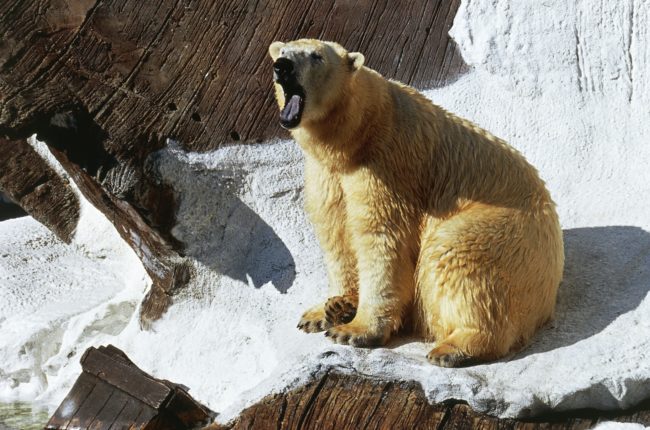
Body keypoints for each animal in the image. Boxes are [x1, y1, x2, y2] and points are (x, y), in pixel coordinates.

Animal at [268, 38, 560, 366]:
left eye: (316, 56)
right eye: (283, 52)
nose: (283, 67)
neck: (360, 132)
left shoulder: (389, 166)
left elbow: (382, 238)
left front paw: (354, 330)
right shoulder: (327, 176)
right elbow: (337, 234)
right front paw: (324, 310)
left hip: (506, 232)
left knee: (458, 257)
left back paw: (453, 347)